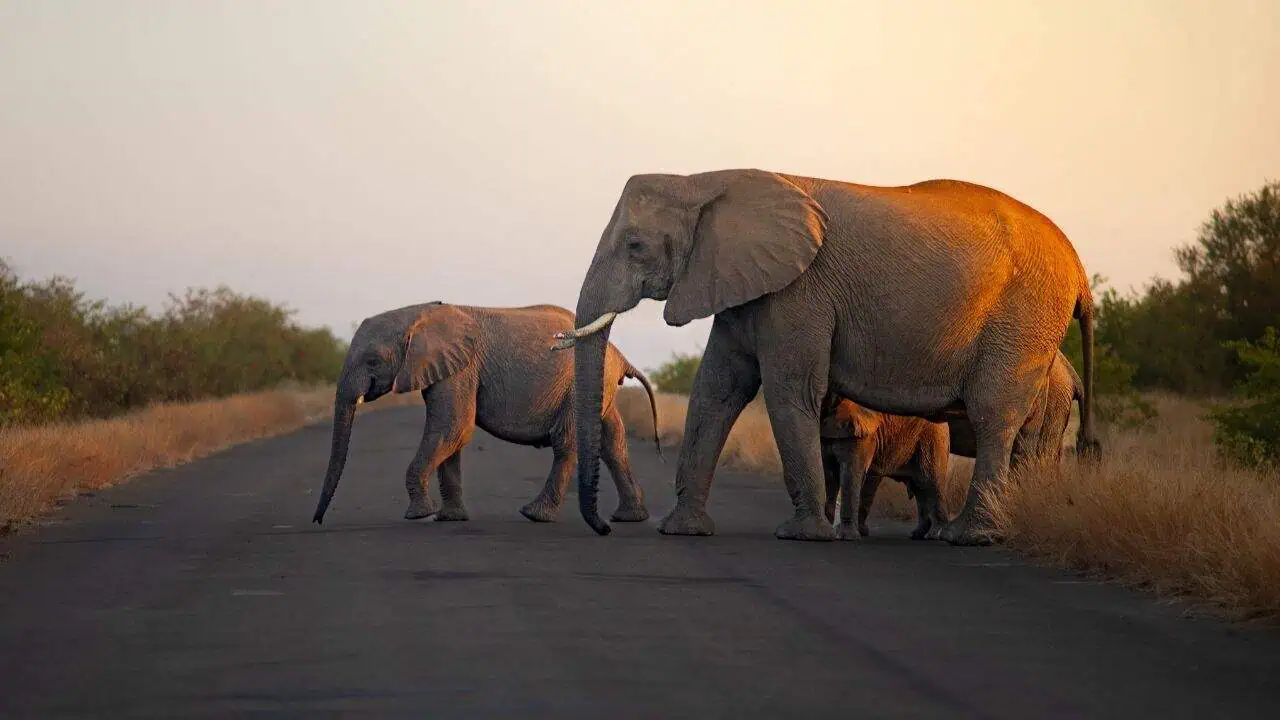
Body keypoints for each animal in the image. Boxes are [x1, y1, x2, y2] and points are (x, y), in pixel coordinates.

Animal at [311, 302, 660, 526]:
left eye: (372, 361)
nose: (317, 521)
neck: (416, 313)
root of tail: (619, 355)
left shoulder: (462, 367)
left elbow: (455, 427)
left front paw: (420, 514)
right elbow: (451, 435)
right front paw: (449, 518)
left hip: (577, 385)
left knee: (568, 442)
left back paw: (534, 515)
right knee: (612, 441)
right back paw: (630, 518)